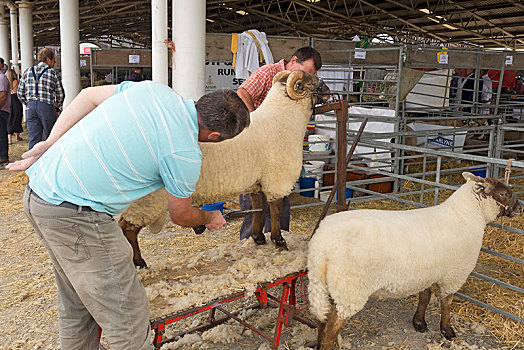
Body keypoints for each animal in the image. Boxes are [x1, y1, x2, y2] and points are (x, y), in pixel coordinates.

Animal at [120, 70, 322, 268]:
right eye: (313, 82)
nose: (328, 89)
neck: (284, 119)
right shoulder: (277, 181)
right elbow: (275, 210)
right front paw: (279, 240)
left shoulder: (256, 183)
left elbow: (259, 208)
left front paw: (258, 237)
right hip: (147, 201)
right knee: (127, 228)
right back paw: (138, 262)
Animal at [310, 173, 520, 350]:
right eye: (503, 193)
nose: (519, 207)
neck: (467, 215)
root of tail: (321, 245)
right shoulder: (454, 275)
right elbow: (446, 302)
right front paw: (447, 330)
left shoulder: (424, 273)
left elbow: (425, 297)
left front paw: (419, 323)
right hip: (350, 288)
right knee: (331, 328)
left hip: (326, 285)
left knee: (322, 321)